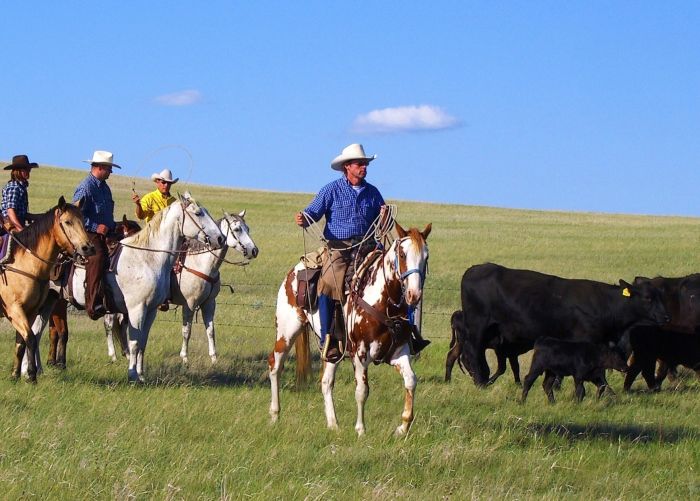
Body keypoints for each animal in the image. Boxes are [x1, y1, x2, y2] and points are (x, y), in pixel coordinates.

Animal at [0, 197, 93, 380]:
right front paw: (31, 375)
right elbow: (30, 338)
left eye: (82, 221)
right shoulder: (15, 310)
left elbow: (21, 342)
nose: (87, 247)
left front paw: (15, 375)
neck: (24, 263)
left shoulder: (31, 311)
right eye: (67, 222)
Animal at [270, 221, 430, 436]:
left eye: (426, 257)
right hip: (287, 332)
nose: (414, 294)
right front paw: (361, 430)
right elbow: (362, 390)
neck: (384, 301)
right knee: (275, 366)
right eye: (403, 255)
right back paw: (275, 415)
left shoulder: (398, 351)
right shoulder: (360, 353)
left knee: (326, 382)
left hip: (332, 349)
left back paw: (333, 424)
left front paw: (402, 427)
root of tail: (294, 272)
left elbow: (411, 380)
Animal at [460, 264, 668, 384]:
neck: (606, 304)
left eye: (661, 296)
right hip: (478, 326)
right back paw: (480, 382)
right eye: (648, 298)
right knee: (473, 351)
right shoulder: (587, 342)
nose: (666, 317)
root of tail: (474, 269)